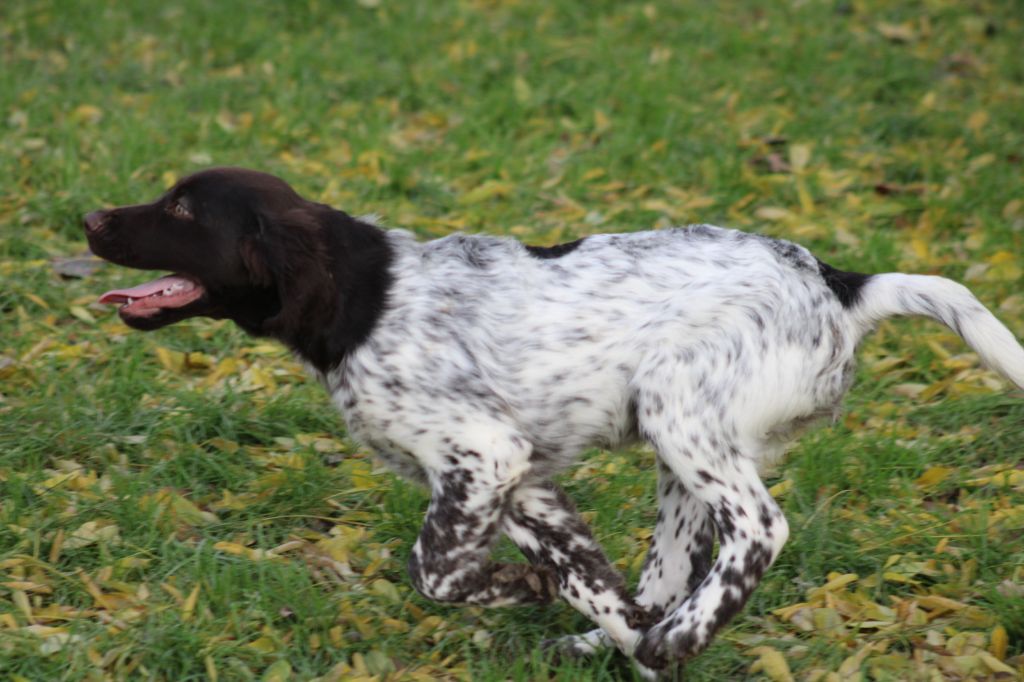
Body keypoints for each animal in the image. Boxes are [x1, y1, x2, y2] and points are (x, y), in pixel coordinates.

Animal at [81, 165, 1024, 667]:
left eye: (182, 210)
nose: (88, 216)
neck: (364, 298)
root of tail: (836, 280)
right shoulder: (523, 481)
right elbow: (588, 577)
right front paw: (587, 616)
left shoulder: (483, 456)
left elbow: (436, 571)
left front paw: (527, 595)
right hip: (678, 446)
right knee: (669, 570)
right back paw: (638, 644)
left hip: (680, 409)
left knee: (760, 528)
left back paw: (684, 637)